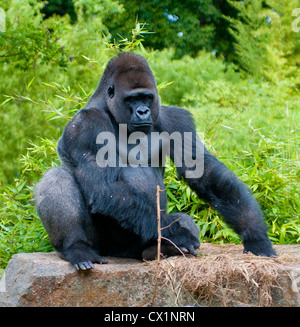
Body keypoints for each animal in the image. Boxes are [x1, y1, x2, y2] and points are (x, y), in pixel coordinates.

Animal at [34, 52, 276, 270]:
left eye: (147, 97)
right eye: (132, 99)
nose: (143, 111)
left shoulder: (177, 120)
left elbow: (203, 172)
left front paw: (255, 235)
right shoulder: (84, 127)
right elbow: (105, 186)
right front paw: (178, 235)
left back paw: (159, 250)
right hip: (102, 246)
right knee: (57, 176)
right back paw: (76, 248)